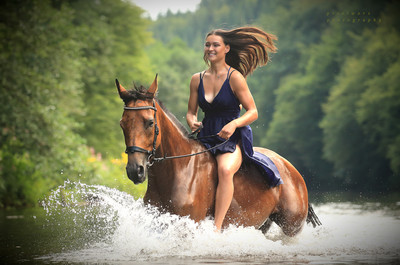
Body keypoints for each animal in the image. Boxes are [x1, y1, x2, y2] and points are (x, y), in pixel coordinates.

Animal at [116, 75, 322, 235]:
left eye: (150, 122)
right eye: (122, 124)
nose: (135, 170)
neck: (179, 171)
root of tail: (291, 169)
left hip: (291, 228)